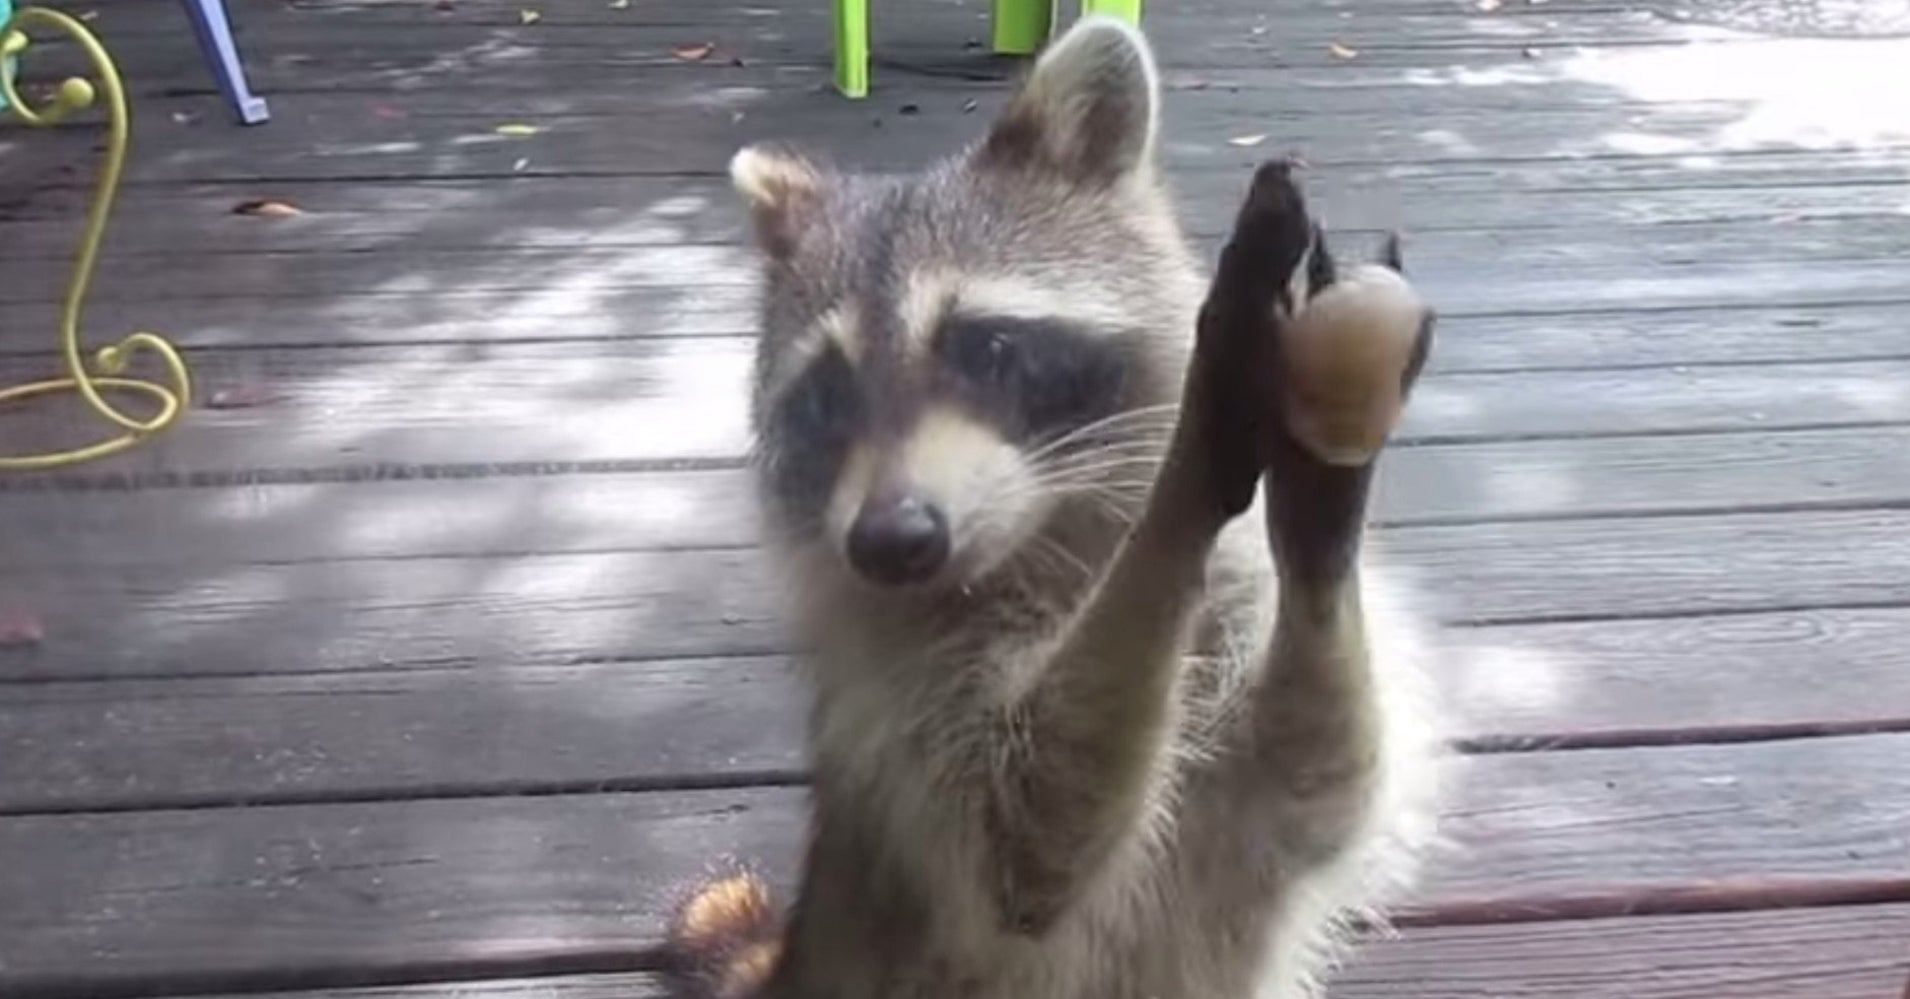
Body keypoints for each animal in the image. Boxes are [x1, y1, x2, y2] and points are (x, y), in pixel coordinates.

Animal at [665, 16, 1446, 999]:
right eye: (830, 395)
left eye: (989, 348)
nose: (891, 541)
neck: (1046, 536)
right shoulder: (901, 710)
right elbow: (1032, 827)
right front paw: (1192, 460)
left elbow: (1322, 773)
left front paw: (1321, 495)